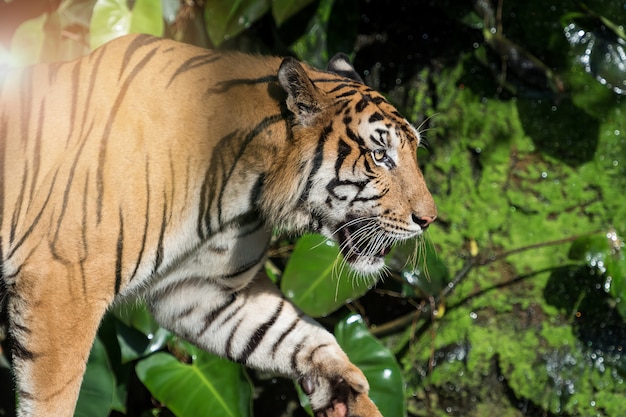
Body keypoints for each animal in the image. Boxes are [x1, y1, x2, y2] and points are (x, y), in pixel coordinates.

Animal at [0, 34, 434, 416]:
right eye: (379, 155)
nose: (429, 219)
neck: (247, 192)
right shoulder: (63, 287)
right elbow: (54, 399)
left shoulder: (199, 290)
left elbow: (295, 333)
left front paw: (344, 389)